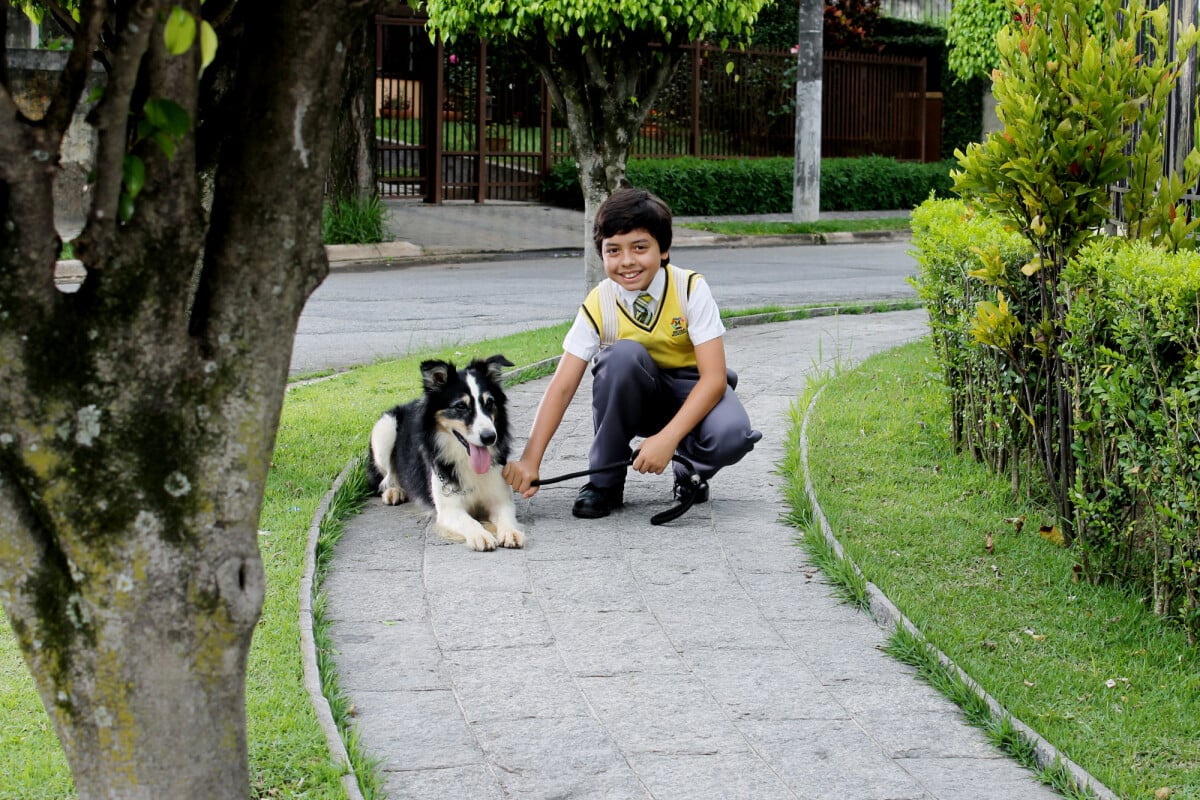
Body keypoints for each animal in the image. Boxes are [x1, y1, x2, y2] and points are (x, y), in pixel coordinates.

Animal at [364, 357, 525, 551]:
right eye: (460, 406)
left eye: (489, 403)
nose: (489, 437)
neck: (466, 460)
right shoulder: (449, 510)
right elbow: (469, 521)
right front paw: (481, 535)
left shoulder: (501, 500)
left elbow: (506, 517)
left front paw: (510, 532)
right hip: (385, 427)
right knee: (385, 476)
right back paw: (394, 490)